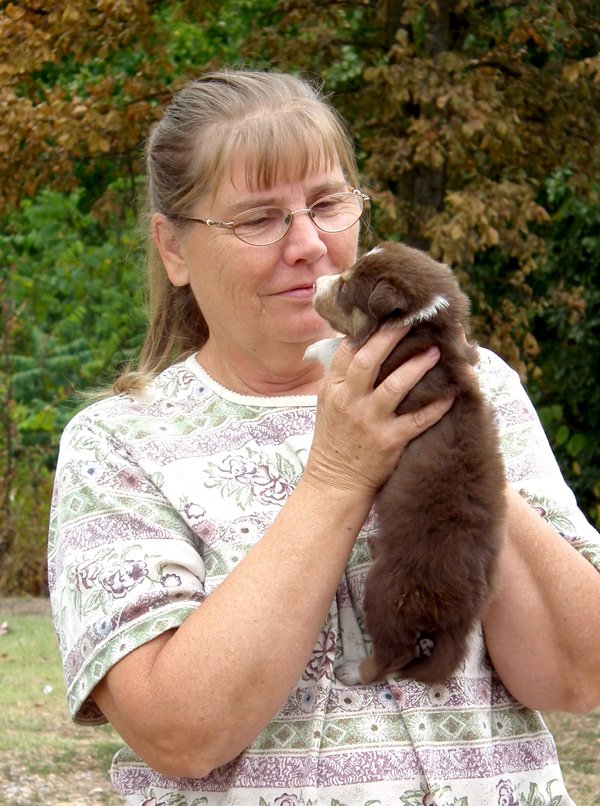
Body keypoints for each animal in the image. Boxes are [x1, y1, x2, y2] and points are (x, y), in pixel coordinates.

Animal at [310, 243, 506, 684]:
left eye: (345, 287)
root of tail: (456, 617)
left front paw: (312, 349)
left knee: (394, 653)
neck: (426, 325)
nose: (315, 283)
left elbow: (342, 351)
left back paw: (354, 669)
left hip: (386, 591)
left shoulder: (384, 369)